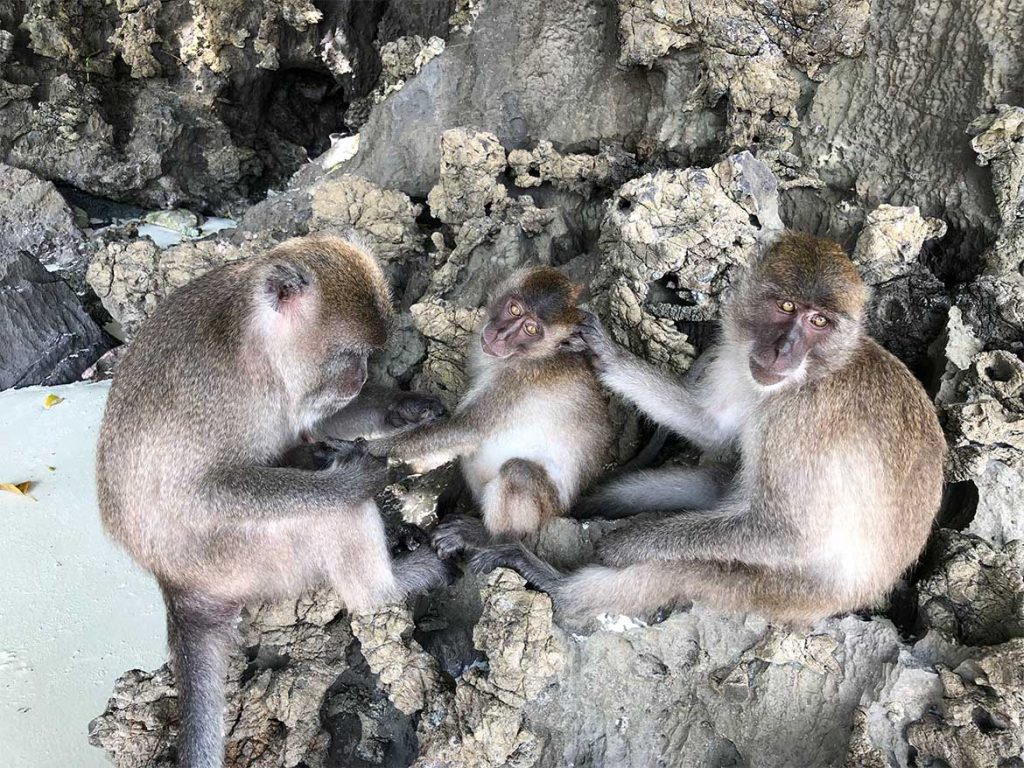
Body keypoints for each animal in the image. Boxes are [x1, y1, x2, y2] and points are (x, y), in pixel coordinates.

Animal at [98, 236, 448, 768]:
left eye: (369, 358)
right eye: (350, 357)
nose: (361, 376)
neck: (254, 345)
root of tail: (175, 583)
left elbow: (321, 420)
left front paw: (406, 407)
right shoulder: (217, 400)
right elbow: (204, 496)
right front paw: (347, 480)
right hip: (245, 558)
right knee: (322, 522)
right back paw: (385, 584)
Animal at [366, 268, 610, 544]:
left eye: (530, 328)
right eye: (514, 309)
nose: (501, 335)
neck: (534, 355)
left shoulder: (516, 380)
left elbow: (465, 430)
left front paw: (367, 449)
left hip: (547, 509)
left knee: (518, 472)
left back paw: (487, 536)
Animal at [460, 231, 946, 626]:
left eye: (819, 321)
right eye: (787, 306)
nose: (784, 349)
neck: (811, 375)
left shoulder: (802, 420)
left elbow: (788, 533)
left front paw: (625, 545)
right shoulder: (749, 372)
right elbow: (711, 427)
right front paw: (606, 352)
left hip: (792, 595)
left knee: (682, 569)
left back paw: (549, 579)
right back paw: (588, 506)